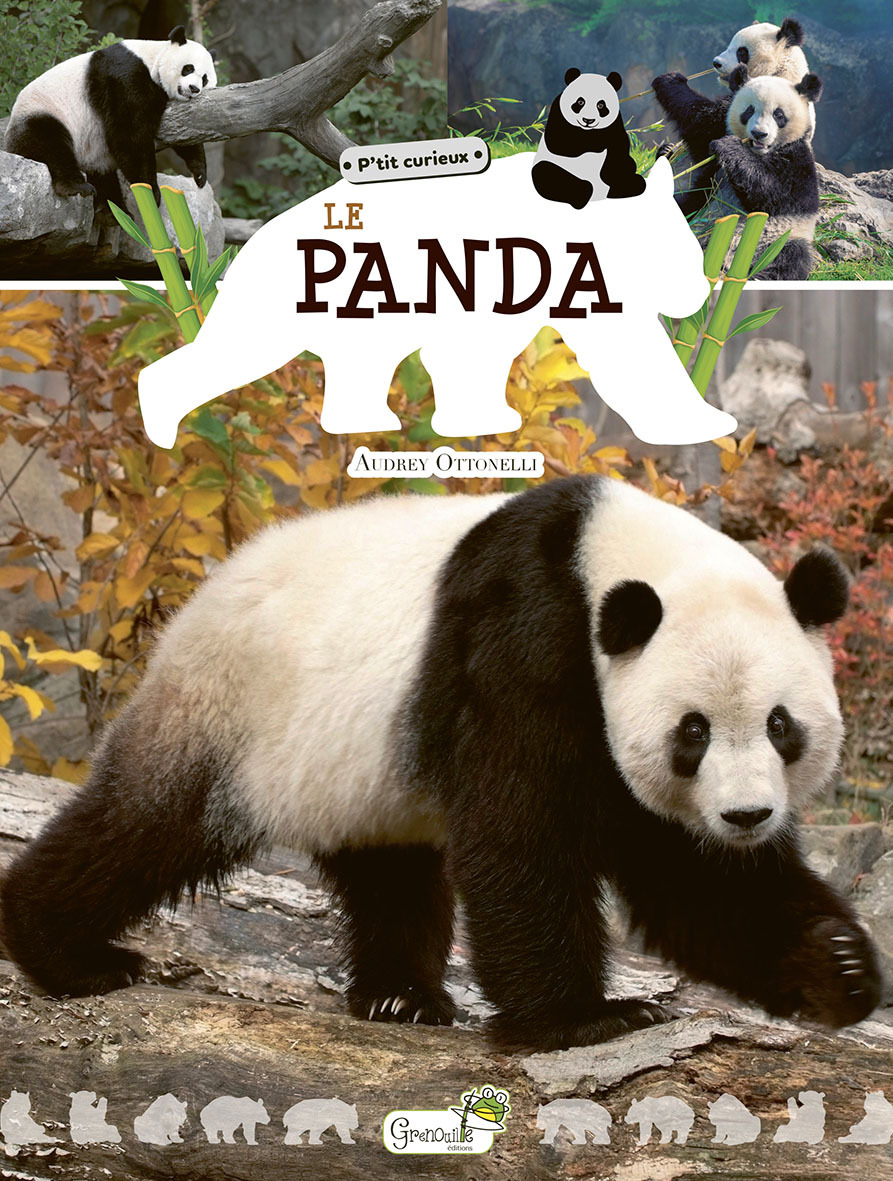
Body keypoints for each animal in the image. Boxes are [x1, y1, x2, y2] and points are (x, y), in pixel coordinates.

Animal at [0, 477, 881, 1052]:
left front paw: (836, 965)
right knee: (145, 824)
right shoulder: (523, 635)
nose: (745, 816)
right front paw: (584, 1020)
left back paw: (400, 997)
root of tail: (200, 595)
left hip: (357, 768)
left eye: (779, 723)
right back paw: (65, 951)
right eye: (691, 731)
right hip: (232, 707)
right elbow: (521, 831)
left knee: (390, 871)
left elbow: (693, 879)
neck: (609, 555)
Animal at [5, 26, 216, 210]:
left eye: (205, 78)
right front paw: (150, 192)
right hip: (43, 112)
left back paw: (111, 210)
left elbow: (184, 132)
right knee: (50, 144)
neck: (152, 59)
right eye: (188, 68)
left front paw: (199, 174)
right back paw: (77, 188)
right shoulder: (124, 76)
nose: (194, 89)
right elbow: (129, 135)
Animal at [532, 68, 645, 208]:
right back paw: (583, 193)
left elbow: (619, 150)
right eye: (580, 102)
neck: (587, 131)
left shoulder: (616, 123)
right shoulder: (557, 112)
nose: (588, 120)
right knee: (546, 173)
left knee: (638, 182)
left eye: (601, 105)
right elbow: (560, 144)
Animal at [653, 16, 813, 215]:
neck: (780, 72)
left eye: (741, 52)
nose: (716, 62)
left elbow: (705, 128)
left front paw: (670, 80)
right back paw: (665, 150)